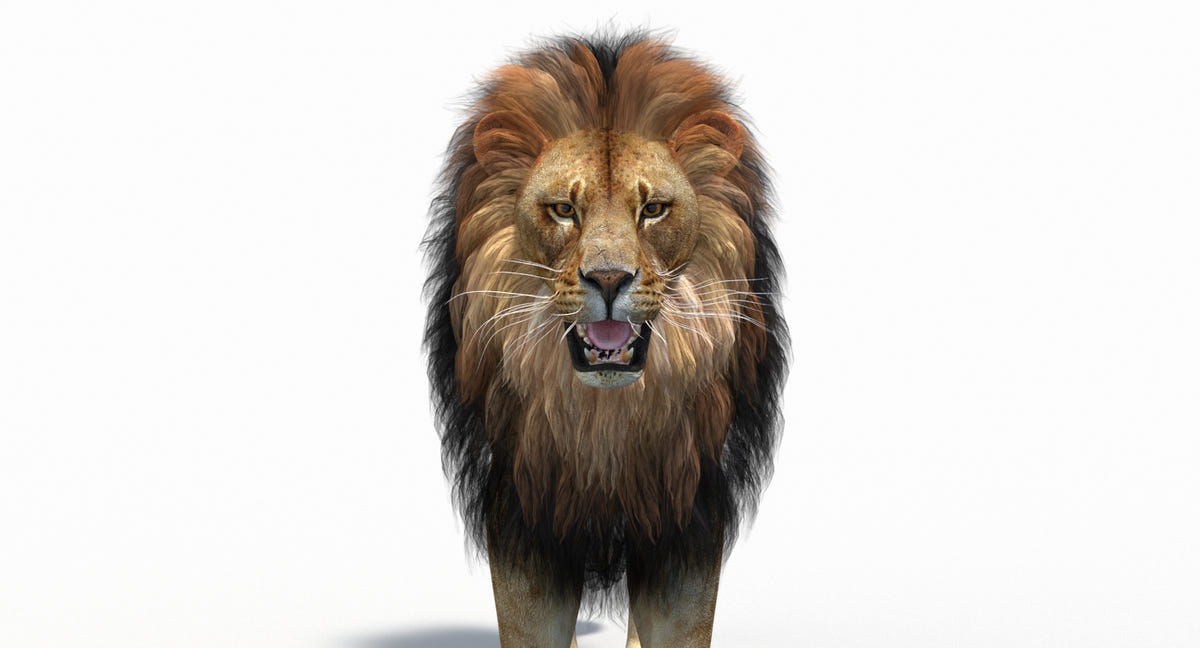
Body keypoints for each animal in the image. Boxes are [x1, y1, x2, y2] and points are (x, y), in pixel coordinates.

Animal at [423, 33, 788, 647]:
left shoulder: (686, 518)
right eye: (564, 210)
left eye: (654, 210)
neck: (605, 425)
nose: (611, 279)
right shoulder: (524, 515)